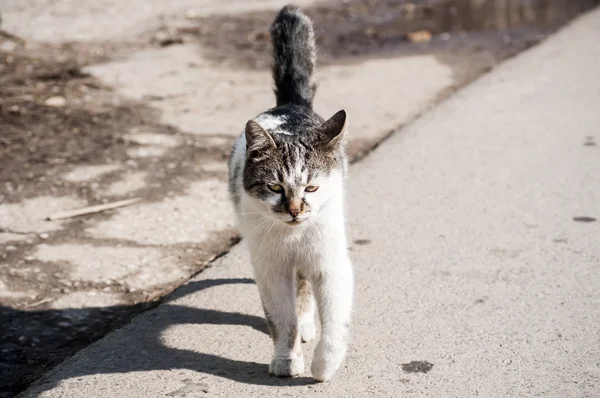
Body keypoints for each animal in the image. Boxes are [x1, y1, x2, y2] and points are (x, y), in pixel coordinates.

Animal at [229, 4, 352, 380]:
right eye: (274, 186)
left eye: (312, 186)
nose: (295, 210)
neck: (293, 237)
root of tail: (289, 105)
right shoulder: (270, 269)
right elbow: (282, 320)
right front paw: (286, 360)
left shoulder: (330, 262)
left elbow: (336, 320)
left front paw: (325, 365)